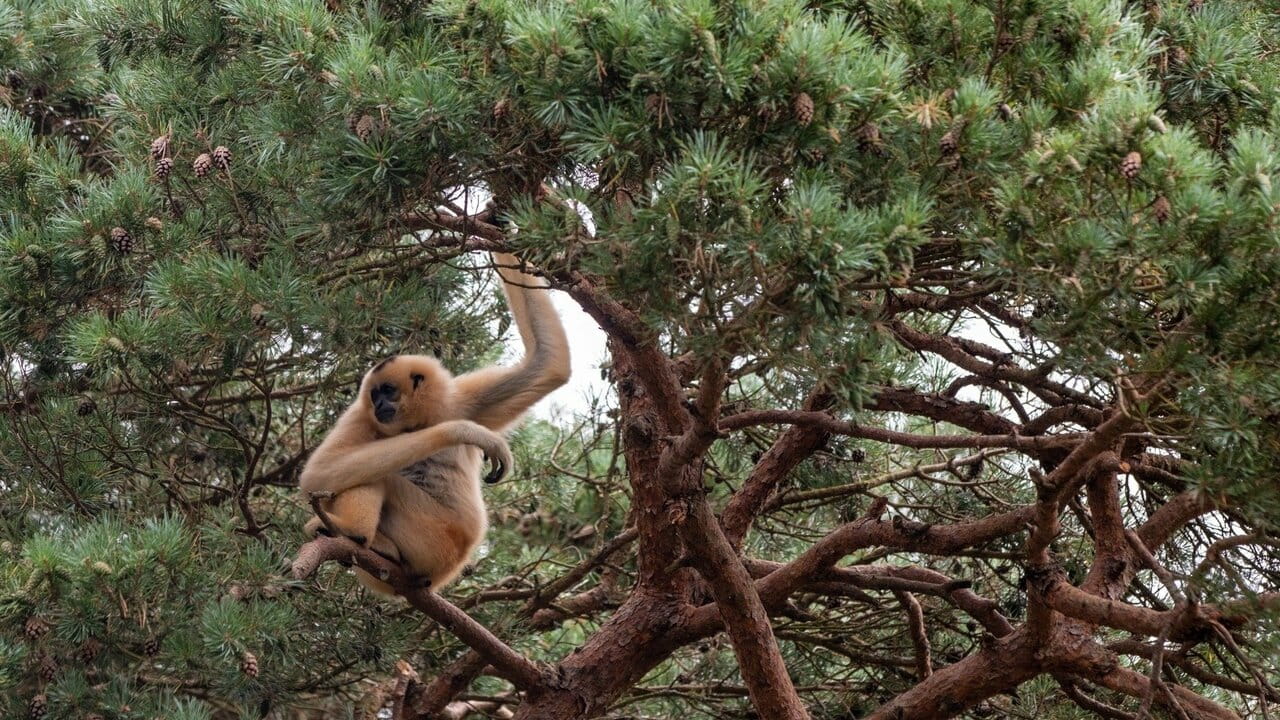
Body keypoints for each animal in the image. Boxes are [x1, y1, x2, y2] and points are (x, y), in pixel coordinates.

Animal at [300, 251, 571, 594]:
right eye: (374, 395)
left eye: (388, 391)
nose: (380, 405)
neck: (418, 422)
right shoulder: (362, 416)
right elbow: (318, 473)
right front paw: (463, 432)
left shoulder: (458, 400)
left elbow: (546, 364)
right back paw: (363, 539)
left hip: (436, 539)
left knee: (381, 477)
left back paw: (354, 533)